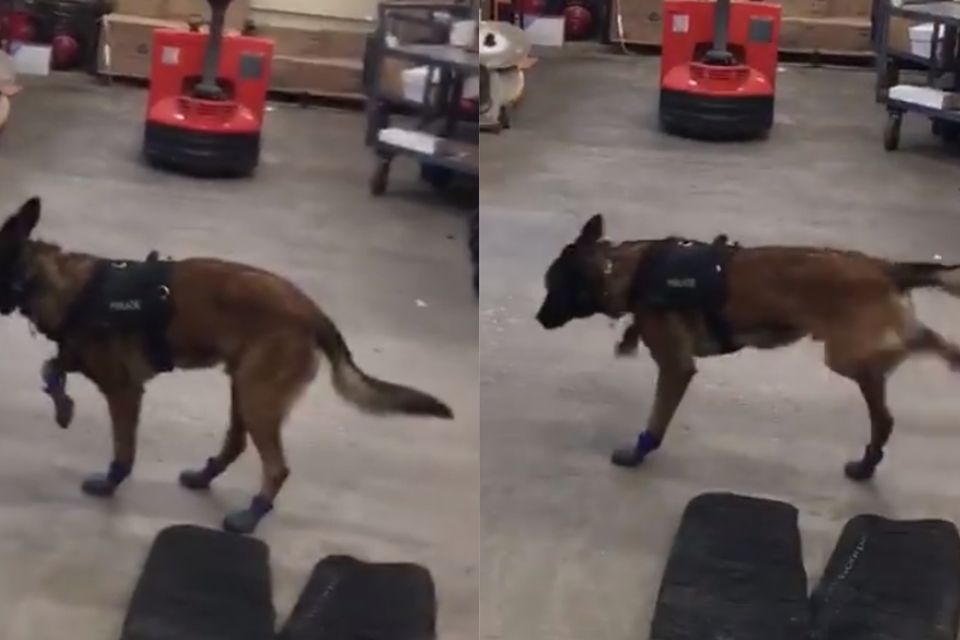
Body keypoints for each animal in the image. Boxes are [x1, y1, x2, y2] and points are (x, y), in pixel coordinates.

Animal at [0, 199, 454, 536]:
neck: (55, 283)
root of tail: (311, 310)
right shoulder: (80, 358)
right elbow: (51, 368)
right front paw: (63, 406)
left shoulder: (124, 391)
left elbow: (122, 450)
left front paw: (110, 480)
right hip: (244, 388)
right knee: (236, 444)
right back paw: (205, 478)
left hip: (256, 397)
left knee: (276, 467)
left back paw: (250, 516)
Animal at [536, 215, 960, 480]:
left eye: (552, 285)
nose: (538, 319)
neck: (627, 270)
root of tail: (887, 267)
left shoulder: (675, 367)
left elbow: (656, 419)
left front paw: (639, 453)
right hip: (872, 346)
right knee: (929, 346)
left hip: (846, 357)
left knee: (886, 412)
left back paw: (867, 463)